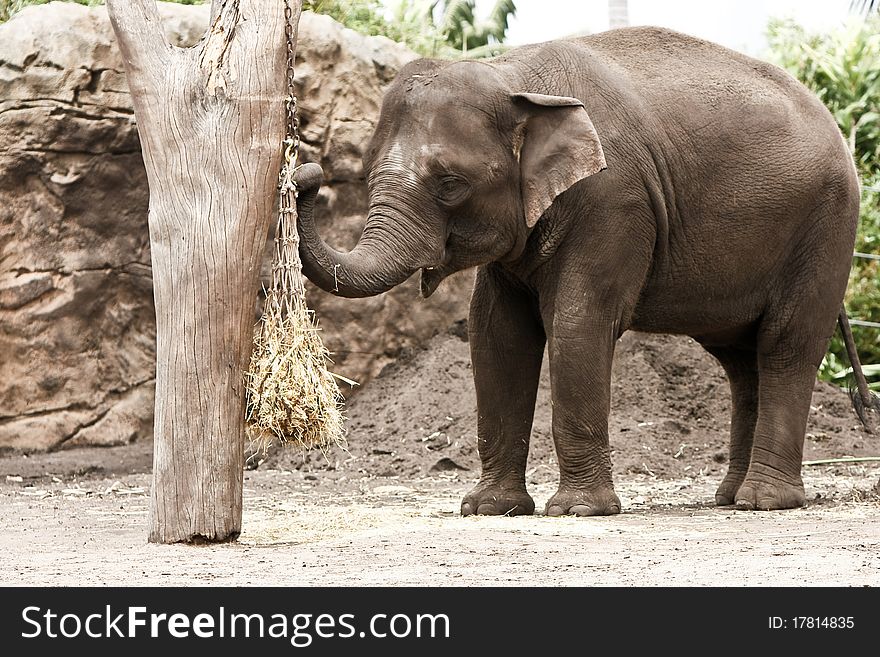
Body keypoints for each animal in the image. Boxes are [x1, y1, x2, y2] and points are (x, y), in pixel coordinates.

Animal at [294, 25, 868, 516]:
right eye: (367, 172)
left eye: (451, 184)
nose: (306, 173)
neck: (514, 76)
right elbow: (495, 334)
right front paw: (488, 509)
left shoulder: (613, 200)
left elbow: (577, 323)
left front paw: (578, 510)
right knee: (741, 363)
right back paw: (728, 498)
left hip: (826, 230)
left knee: (785, 347)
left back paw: (764, 502)